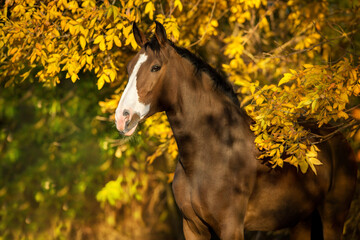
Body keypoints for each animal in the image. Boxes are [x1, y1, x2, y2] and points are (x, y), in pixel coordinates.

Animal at [115, 21, 358, 239]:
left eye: (156, 67)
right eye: (128, 68)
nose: (122, 117)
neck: (214, 151)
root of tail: (335, 137)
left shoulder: (230, 227)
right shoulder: (193, 228)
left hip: (333, 217)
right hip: (301, 220)